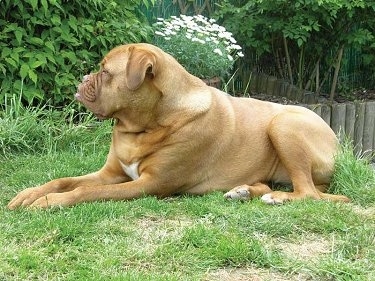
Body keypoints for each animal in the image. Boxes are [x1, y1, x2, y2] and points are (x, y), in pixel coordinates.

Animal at [7, 42, 352, 208]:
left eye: (105, 72)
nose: (83, 79)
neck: (144, 126)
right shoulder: (111, 173)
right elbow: (64, 180)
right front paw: (30, 194)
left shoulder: (150, 184)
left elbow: (86, 193)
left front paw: (48, 202)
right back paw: (244, 191)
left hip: (283, 123)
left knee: (308, 193)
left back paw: (278, 197)